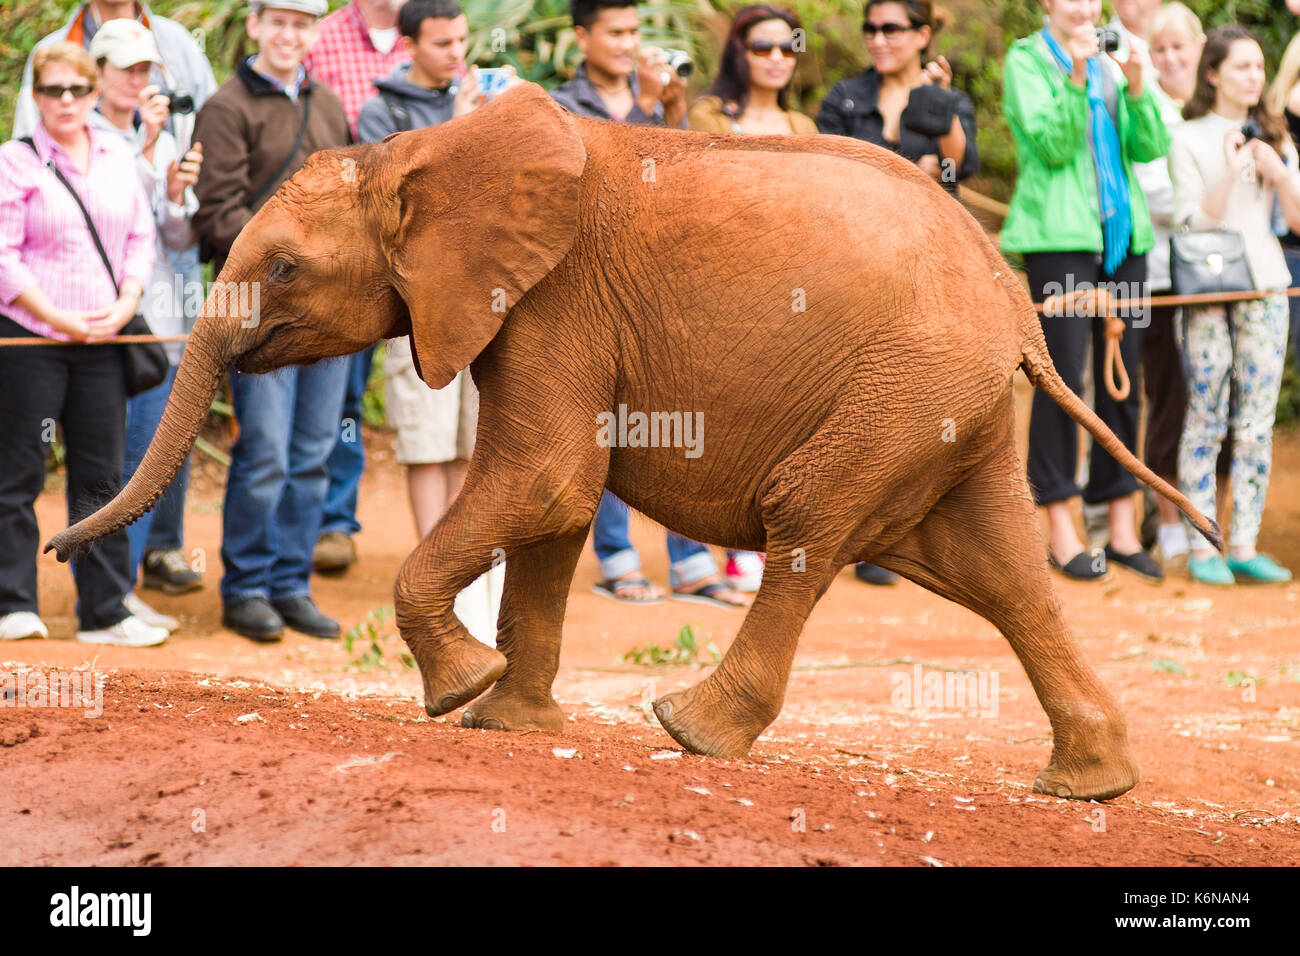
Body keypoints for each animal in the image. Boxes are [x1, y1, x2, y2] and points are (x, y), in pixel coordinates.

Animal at [45, 83, 1211, 801]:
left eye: (284, 268)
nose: (56, 546)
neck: (419, 151)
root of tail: (1017, 302)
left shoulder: (555, 301)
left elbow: (548, 481)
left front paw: (459, 692)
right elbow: (555, 507)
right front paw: (505, 718)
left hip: (908, 384)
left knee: (810, 519)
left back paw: (693, 729)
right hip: (942, 401)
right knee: (996, 566)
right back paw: (1091, 783)